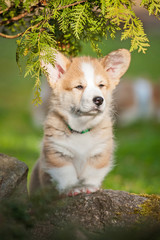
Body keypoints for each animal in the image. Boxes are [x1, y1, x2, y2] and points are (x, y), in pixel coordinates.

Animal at [29, 48, 131, 195]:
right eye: (79, 87)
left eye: (101, 85)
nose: (99, 100)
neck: (82, 128)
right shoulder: (57, 154)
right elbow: (66, 172)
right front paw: (72, 188)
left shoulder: (99, 153)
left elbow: (92, 172)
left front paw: (88, 186)